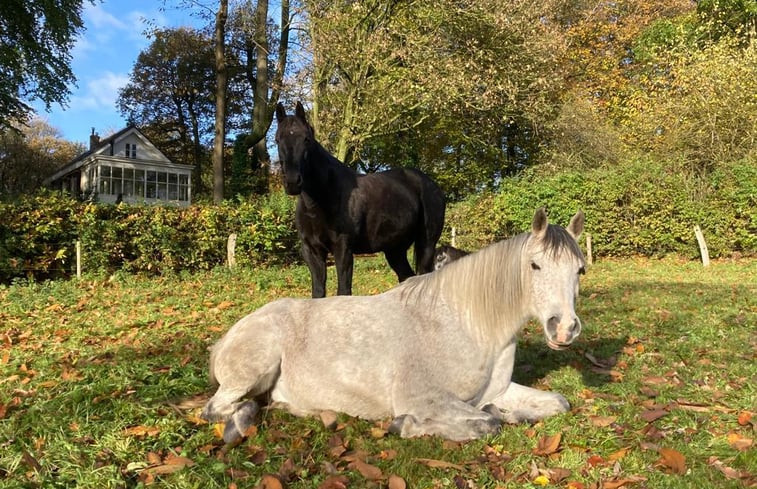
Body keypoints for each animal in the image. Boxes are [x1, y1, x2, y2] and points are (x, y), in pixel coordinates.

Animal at [204, 208, 588, 440]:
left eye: (580, 269)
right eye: (535, 265)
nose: (564, 328)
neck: (466, 324)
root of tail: (228, 337)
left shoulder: (497, 391)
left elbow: (557, 403)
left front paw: (511, 413)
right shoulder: (424, 399)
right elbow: (487, 423)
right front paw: (407, 426)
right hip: (253, 370)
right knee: (218, 408)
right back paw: (240, 422)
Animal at [276, 102, 442, 298]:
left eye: (306, 139)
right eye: (277, 140)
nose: (292, 182)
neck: (319, 202)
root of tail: (430, 184)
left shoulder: (343, 250)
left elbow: (343, 291)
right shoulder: (312, 251)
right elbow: (318, 293)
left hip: (427, 245)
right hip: (395, 250)